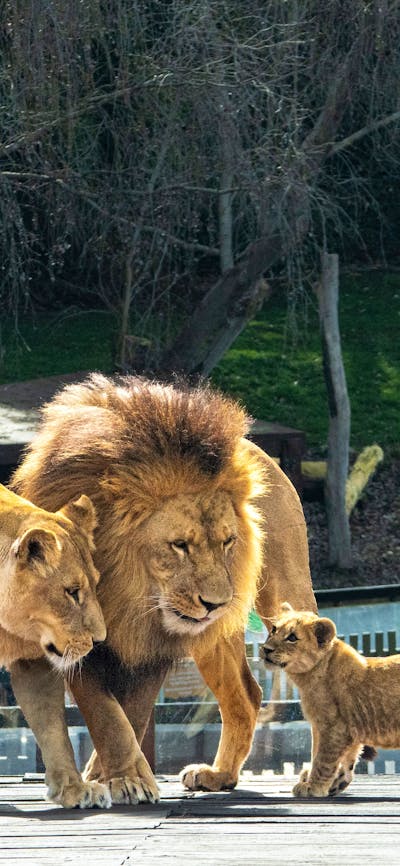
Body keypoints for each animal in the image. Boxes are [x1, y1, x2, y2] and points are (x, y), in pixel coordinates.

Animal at [0, 483, 111, 809]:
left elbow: (52, 726)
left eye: (95, 584)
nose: (100, 639)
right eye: (71, 592)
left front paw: (75, 789)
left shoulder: (32, 663)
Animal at [11, 374, 316, 803]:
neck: (127, 593)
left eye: (227, 542)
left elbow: (133, 711)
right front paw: (119, 775)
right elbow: (107, 712)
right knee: (246, 694)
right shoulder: (73, 637)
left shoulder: (154, 641)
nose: (218, 603)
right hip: (215, 636)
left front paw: (122, 776)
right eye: (180, 545)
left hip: (284, 593)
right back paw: (220, 775)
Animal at [261, 602, 400, 798]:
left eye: (292, 638)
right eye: (273, 630)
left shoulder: (335, 727)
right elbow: (343, 759)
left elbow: (323, 759)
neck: (308, 676)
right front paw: (336, 782)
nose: (266, 649)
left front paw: (313, 787)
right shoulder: (342, 728)